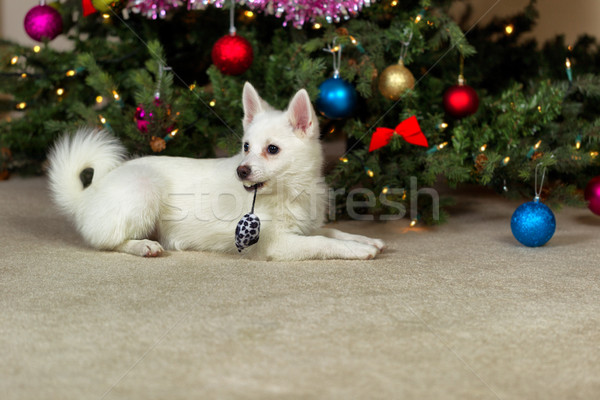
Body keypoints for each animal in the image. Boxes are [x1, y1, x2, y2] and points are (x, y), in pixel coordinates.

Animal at [47, 83, 384, 260]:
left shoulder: (306, 227)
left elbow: (330, 231)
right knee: (107, 241)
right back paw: (143, 245)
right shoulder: (279, 244)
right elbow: (322, 242)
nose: (241, 171)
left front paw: (364, 239)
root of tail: (89, 194)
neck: (288, 191)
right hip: (145, 188)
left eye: (272, 149)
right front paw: (355, 249)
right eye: (246, 146)